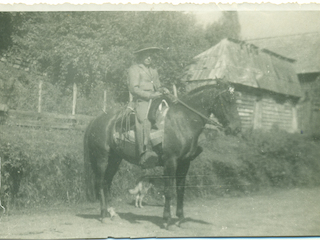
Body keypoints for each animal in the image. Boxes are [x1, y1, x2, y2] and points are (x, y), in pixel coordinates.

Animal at [84, 80, 241, 229]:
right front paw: (167, 221)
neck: (182, 121)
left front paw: (180, 219)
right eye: (227, 99)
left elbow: (180, 190)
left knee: (107, 182)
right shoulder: (170, 162)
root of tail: (95, 120)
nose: (236, 129)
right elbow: (169, 191)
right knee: (100, 183)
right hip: (102, 158)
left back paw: (111, 213)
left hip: (115, 160)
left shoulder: (184, 163)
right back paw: (103, 215)